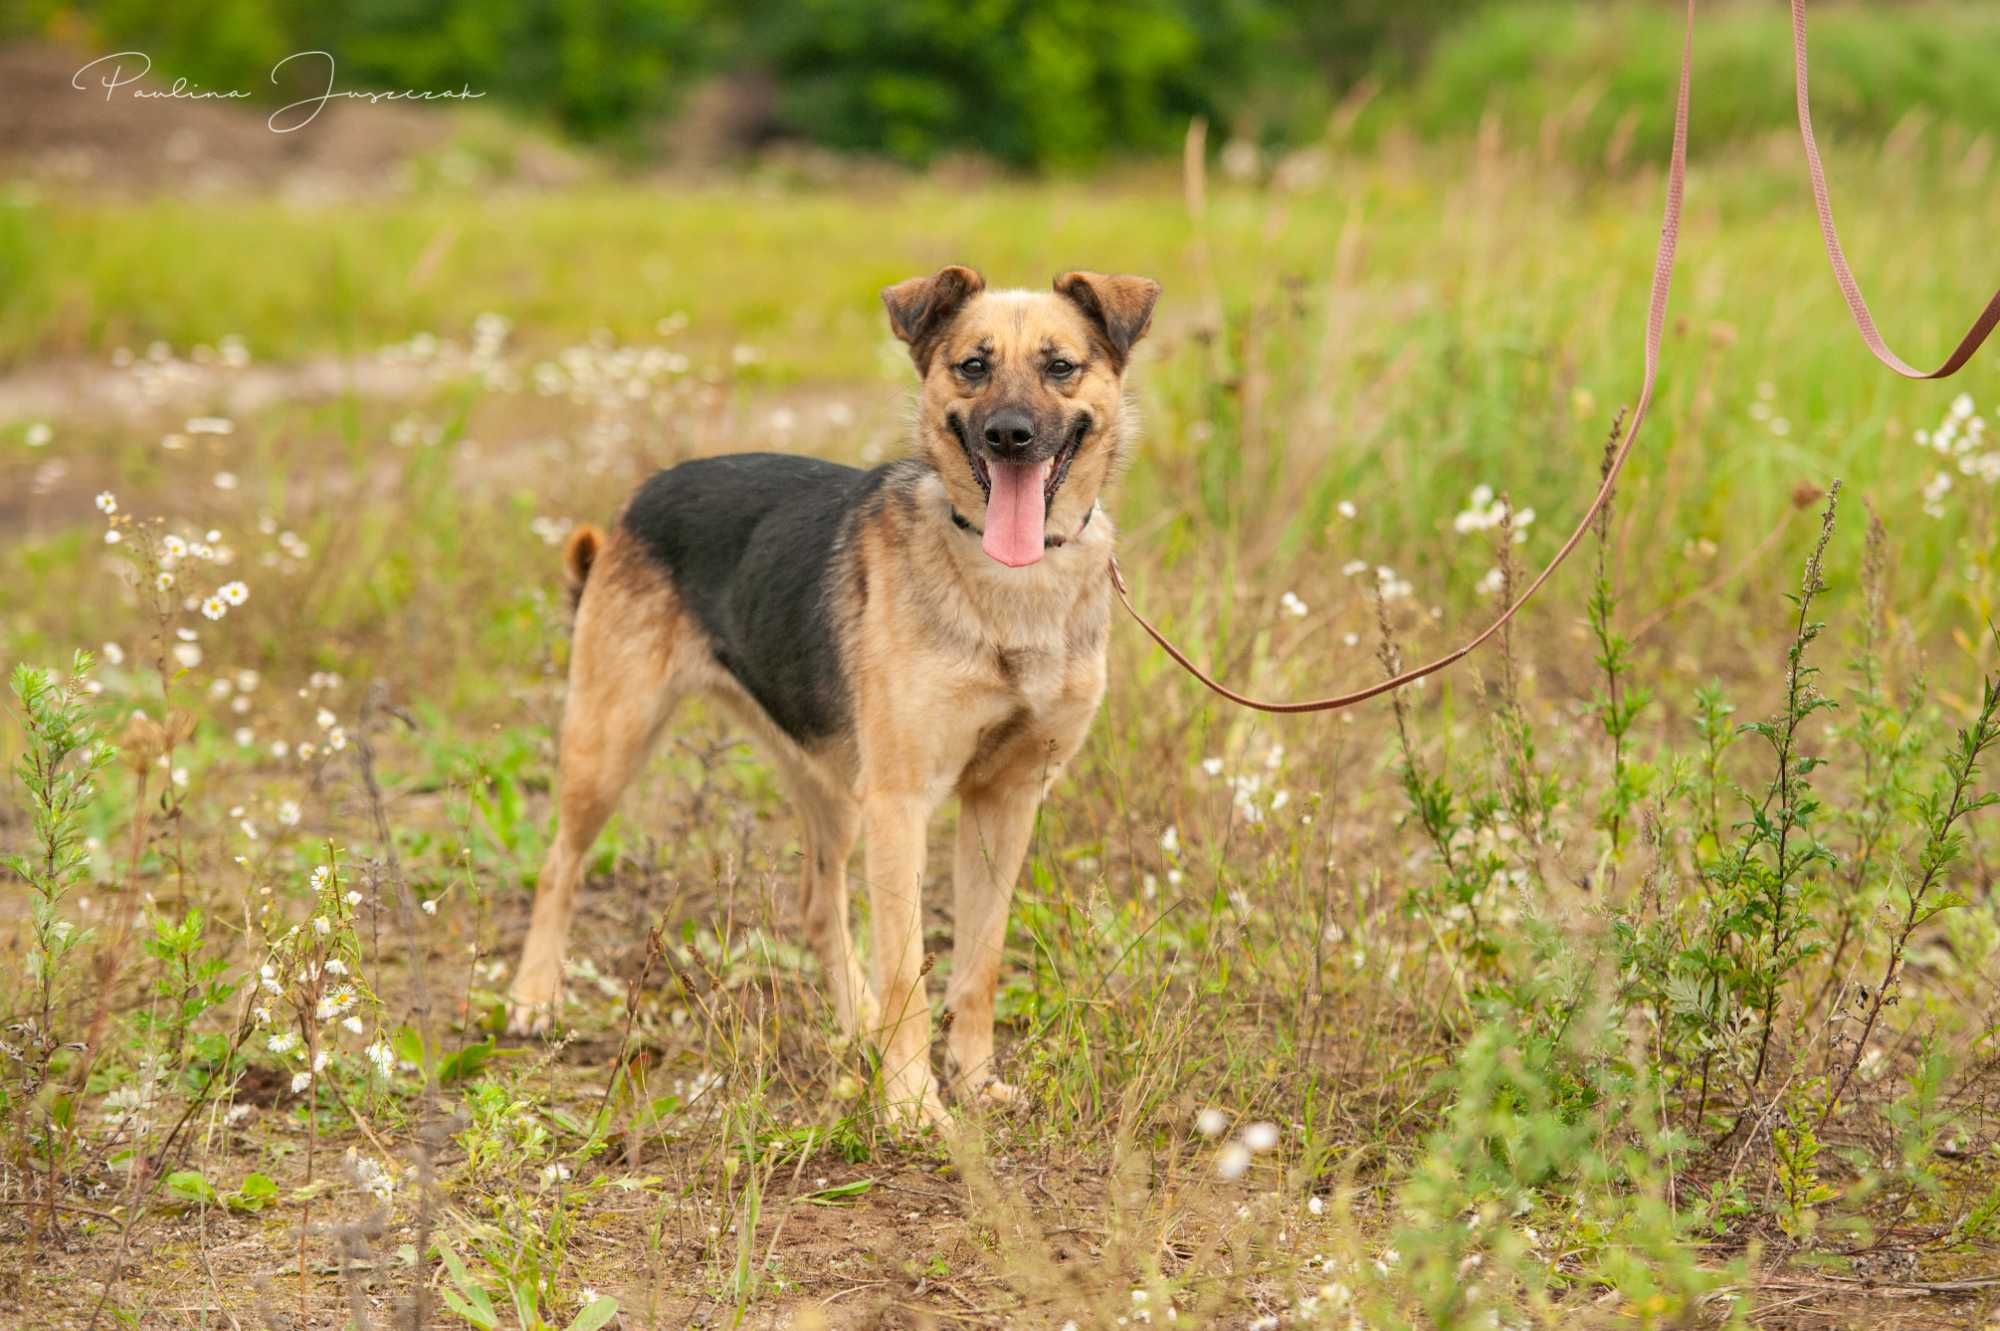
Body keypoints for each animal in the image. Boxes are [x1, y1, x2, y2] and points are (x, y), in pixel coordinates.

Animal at [508, 267, 1168, 1119]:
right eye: (973, 366)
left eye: (1060, 366)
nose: (1010, 435)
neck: (1008, 584)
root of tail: (644, 493)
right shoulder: (902, 801)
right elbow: (908, 967)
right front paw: (913, 1104)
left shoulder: (1006, 799)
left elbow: (979, 962)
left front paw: (973, 1080)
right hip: (612, 742)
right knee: (559, 863)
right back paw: (533, 994)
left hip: (831, 787)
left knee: (820, 905)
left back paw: (859, 1026)